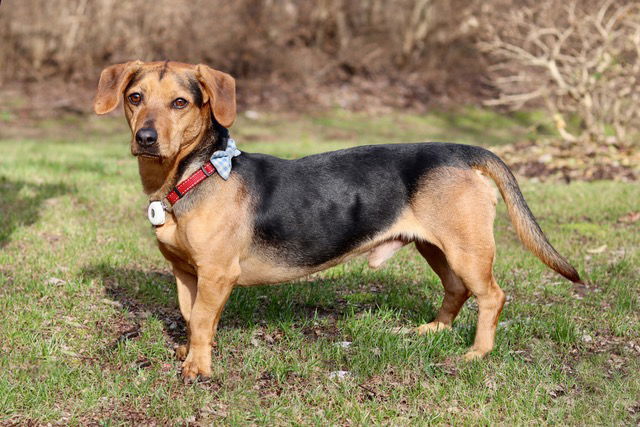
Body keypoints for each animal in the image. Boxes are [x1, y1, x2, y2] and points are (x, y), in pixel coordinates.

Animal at [94, 60, 580, 382]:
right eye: (135, 98)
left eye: (180, 103)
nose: (146, 138)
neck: (192, 173)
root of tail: (465, 151)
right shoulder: (186, 273)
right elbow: (192, 316)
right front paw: (192, 352)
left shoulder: (216, 273)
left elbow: (199, 320)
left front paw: (198, 367)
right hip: (436, 246)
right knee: (457, 290)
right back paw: (433, 330)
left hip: (467, 249)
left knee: (492, 296)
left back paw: (477, 353)